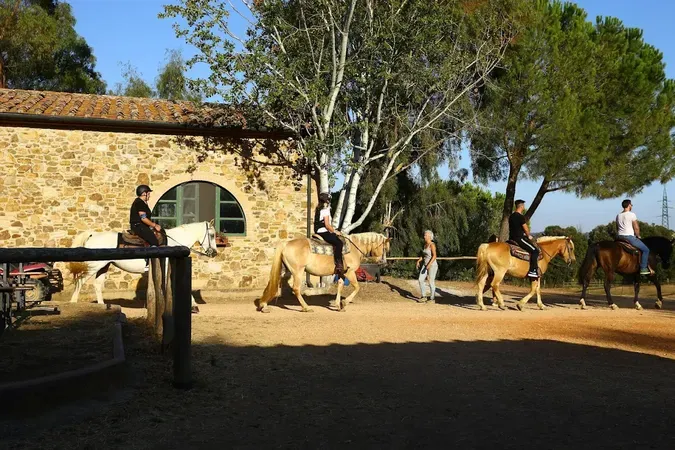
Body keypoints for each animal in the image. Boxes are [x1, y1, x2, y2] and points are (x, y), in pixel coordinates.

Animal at [67, 220, 218, 311]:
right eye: (211, 235)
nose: (214, 252)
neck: (174, 242)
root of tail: (93, 235)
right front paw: (194, 306)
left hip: (104, 266)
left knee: (97, 285)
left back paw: (102, 305)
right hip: (93, 266)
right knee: (80, 281)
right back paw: (73, 302)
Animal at [257, 232, 391, 313]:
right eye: (385, 248)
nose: (384, 263)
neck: (354, 248)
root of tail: (286, 244)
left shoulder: (341, 273)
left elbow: (340, 287)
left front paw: (338, 305)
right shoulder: (350, 272)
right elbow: (357, 287)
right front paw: (344, 303)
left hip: (285, 269)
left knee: (272, 285)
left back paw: (264, 306)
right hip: (298, 271)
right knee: (296, 289)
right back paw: (306, 308)